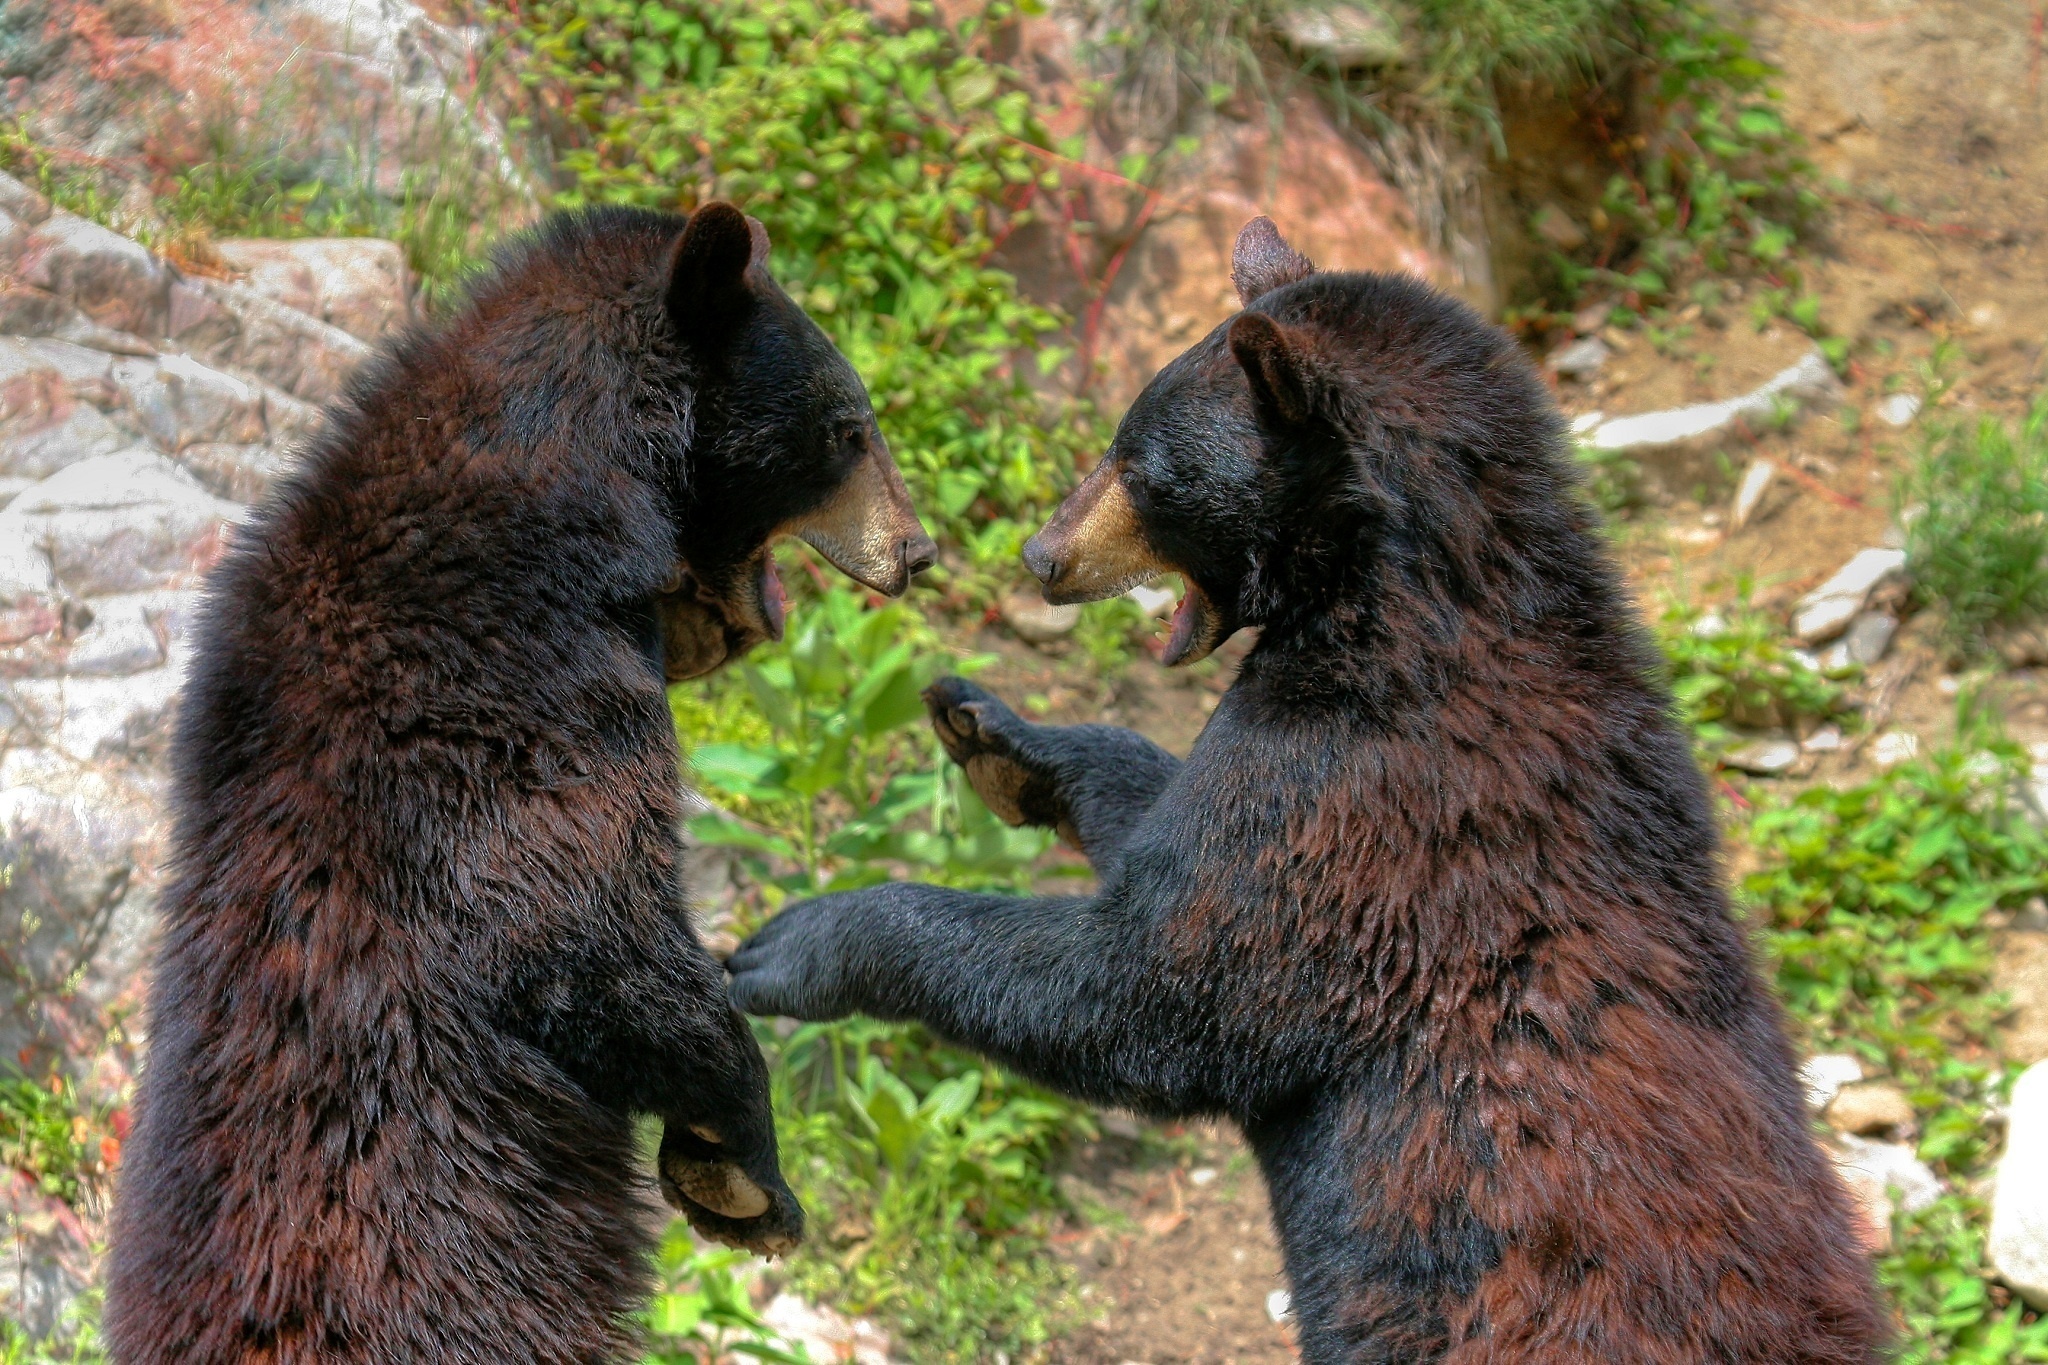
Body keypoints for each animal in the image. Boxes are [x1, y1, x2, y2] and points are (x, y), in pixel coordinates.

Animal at [725, 218, 1890, 1364]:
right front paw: (996, 735)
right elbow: (1165, 824)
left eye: (1141, 464)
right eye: (1118, 435)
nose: (1040, 553)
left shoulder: (1365, 807)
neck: (1389, 612)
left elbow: (1154, 984)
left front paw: (797, 943)